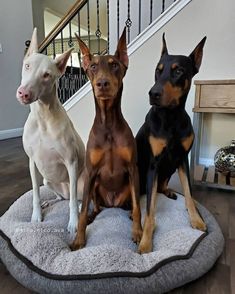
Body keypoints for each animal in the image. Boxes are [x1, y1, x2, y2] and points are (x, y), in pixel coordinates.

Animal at [16, 28, 86, 234]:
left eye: (47, 75)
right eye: (27, 66)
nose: (24, 93)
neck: (43, 118)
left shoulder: (71, 162)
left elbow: (72, 202)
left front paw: (73, 222)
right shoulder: (32, 162)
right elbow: (35, 193)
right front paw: (36, 215)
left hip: (83, 180)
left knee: (77, 198)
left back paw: (81, 207)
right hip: (48, 181)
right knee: (62, 197)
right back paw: (51, 201)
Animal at [70, 28, 142, 250]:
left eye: (115, 65)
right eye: (93, 66)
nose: (103, 83)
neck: (109, 123)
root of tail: (112, 203)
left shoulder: (132, 169)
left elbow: (138, 207)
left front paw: (138, 232)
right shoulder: (91, 171)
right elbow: (82, 210)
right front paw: (79, 239)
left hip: (130, 185)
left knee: (132, 204)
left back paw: (129, 214)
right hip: (93, 185)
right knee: (96, 207)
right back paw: (93, 215)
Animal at [137, 34, 207, 255]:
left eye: (178, 71)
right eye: (158, 70)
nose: (153, 93)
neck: (171, 117)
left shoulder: (183, 158)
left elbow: (189, 193)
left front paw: (196, 220)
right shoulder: (153, 165)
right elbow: (149, 210)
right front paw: (146, 241)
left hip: (170, 168)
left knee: (161, 186)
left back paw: (168, 191)